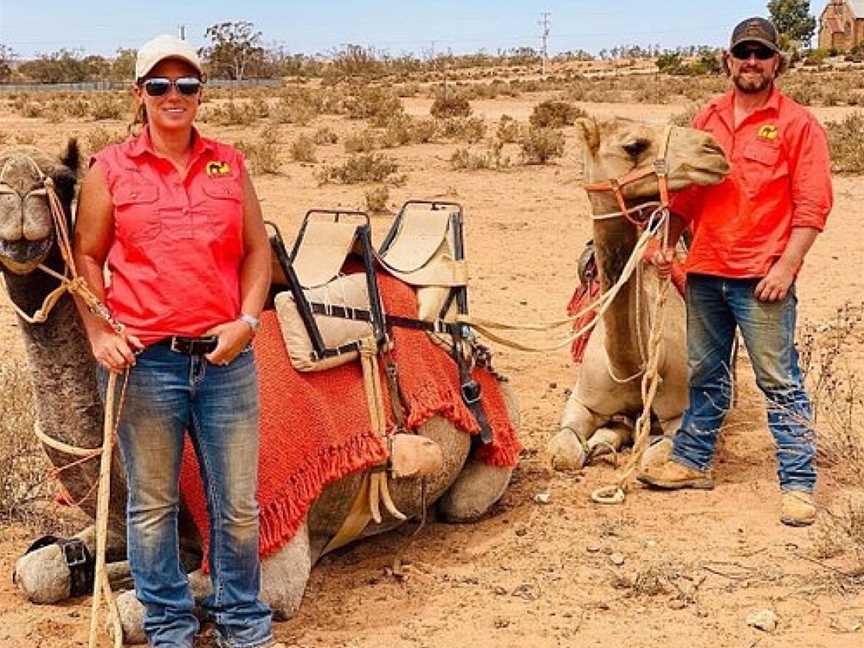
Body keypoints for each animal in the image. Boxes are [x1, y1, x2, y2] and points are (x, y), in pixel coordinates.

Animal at [0, 142, 516, 644]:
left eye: (63, 182)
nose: (19, 193)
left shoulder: (276, 549)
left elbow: (130, 613)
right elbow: (37, 570)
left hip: (484, 456)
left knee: (464, 501)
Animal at [548, 116, 728, 470]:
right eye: (634, 145)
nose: (714, 149)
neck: (629, 371)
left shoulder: (677, 413)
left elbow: (652, 457)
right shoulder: (581, 401)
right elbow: (563, 453)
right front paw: (595, 444)